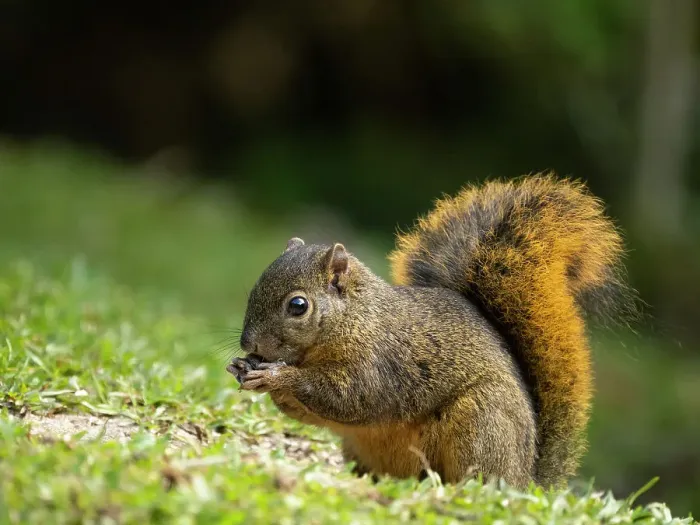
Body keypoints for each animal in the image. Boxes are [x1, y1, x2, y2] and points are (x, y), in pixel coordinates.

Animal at [227, 174, 638, 488]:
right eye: (254, 289)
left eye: (298, 306)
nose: (249, 343)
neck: (355, 319)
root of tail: (526, 482)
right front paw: (241, 367)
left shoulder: (379, 363)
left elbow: (349, 397)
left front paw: (276, 376)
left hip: (481, 421)